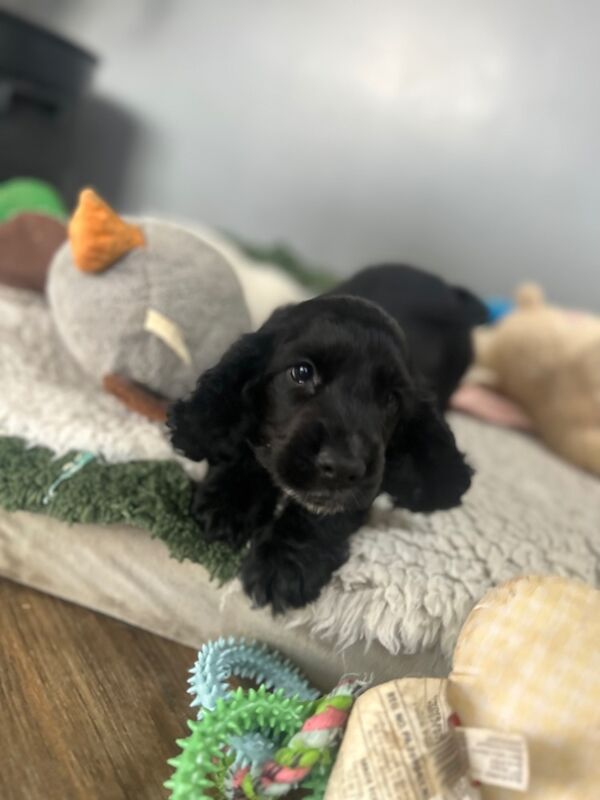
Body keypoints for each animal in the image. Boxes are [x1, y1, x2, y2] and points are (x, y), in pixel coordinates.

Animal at [168, 264, 478, 612]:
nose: (342, 467)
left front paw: (285, 564)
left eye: (391, 400)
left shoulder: (368, 480)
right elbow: (248, 446)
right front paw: (229, 502)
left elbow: (325, 514)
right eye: (302, 372)